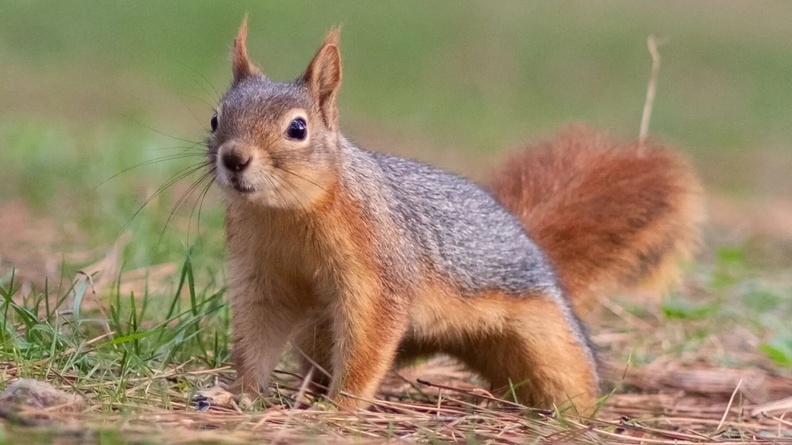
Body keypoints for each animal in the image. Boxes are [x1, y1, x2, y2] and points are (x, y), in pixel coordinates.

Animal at [205, 20, 702, 414]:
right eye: (215, 118)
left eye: (298, 128)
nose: (234, 159)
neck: (285, 214)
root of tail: (530, 241)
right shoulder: (264, 274)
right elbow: (258, 335)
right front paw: (238, 393)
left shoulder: (379, 270)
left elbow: (369, 340)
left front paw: (339, 409)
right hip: (323, 332)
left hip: (550, 340)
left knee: (571, 379)